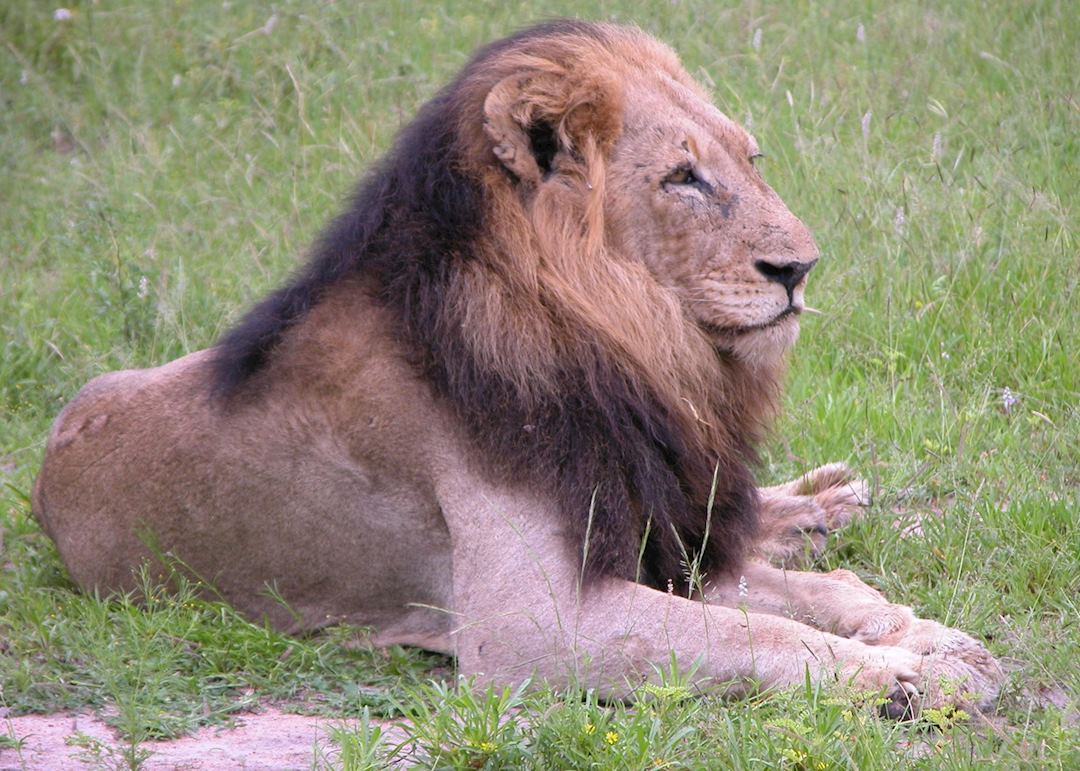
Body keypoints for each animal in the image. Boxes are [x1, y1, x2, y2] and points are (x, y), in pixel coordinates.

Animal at [33, 21, 1001, 717]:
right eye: (683, 178)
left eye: (749, 159)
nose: (800, 268)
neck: (634, 348)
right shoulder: (526, 624)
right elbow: (755, 634)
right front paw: (906, 676)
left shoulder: (650, 529)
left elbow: (818, 595)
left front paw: (933, 639)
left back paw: (821, 504)